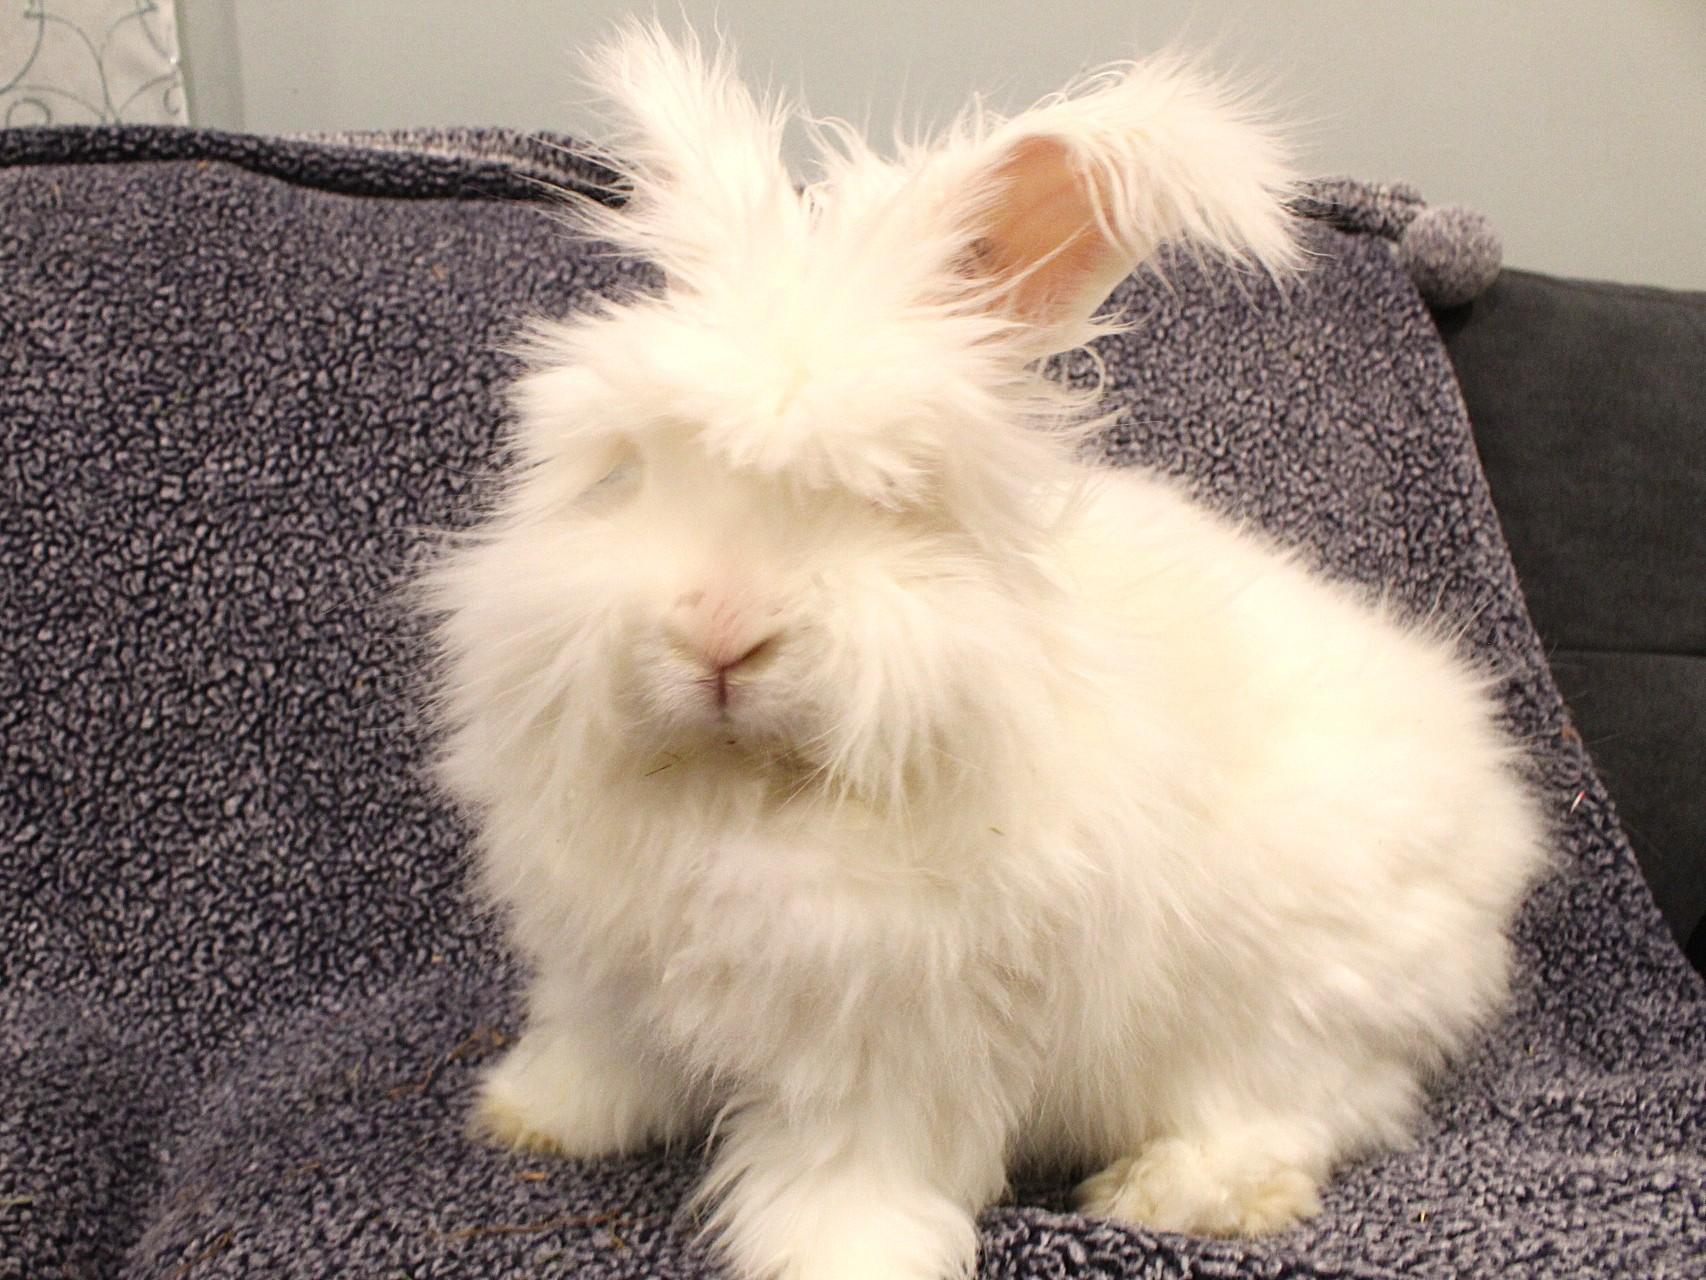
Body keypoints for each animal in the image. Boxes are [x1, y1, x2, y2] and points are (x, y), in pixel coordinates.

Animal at [423, 22, 1546, 1280]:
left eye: (889, 499)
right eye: (630, 470)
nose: (719, 632)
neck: (740, 789)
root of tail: (1496, 815)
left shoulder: (894, 1025)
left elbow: (847, 1162)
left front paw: (839, 1254)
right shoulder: (602, 966)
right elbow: (599, 1050)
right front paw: (532, 1114)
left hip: (1291, 1002)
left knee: (1309, 1104)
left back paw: (1176, 1190)